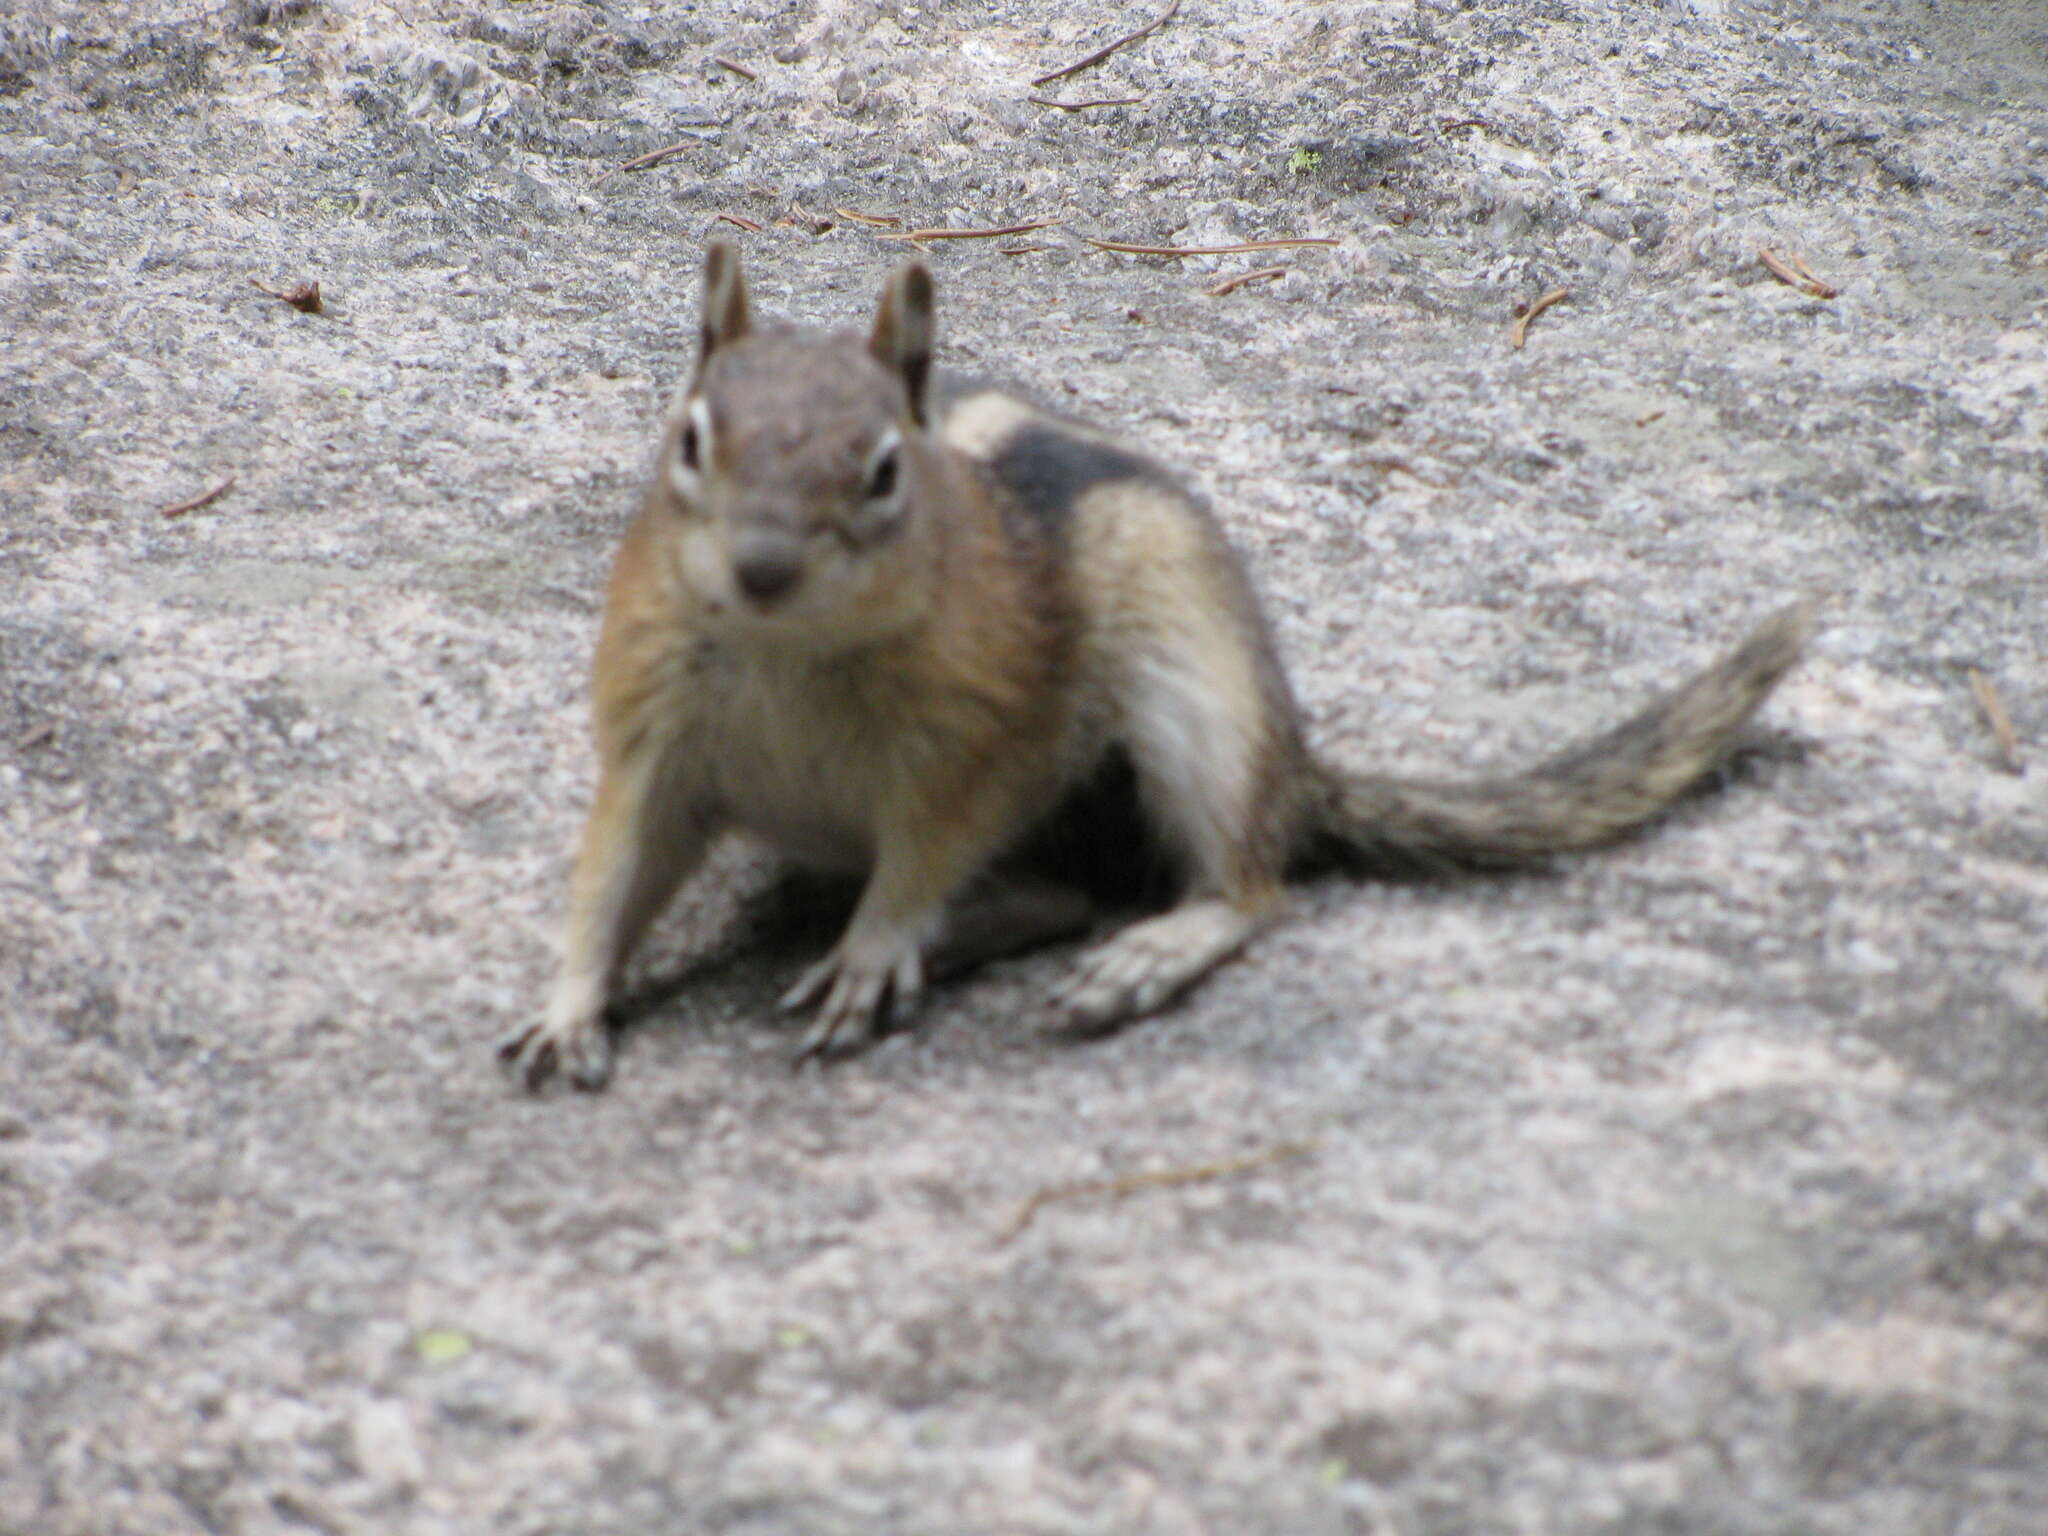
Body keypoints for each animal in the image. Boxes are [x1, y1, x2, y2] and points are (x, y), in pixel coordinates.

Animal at [495, 243, 1810, 1097]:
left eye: (881, 472)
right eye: (688, 439)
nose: (761, 565)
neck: (786, 650)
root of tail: (1296, 759)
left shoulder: (979, 746)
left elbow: (922, 858)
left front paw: (875, 952)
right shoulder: (650, 742)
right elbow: (609, 874)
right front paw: (565, 1007)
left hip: (1201, 702)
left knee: (1240, 888)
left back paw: (1130, 954)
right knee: (1058, 893)